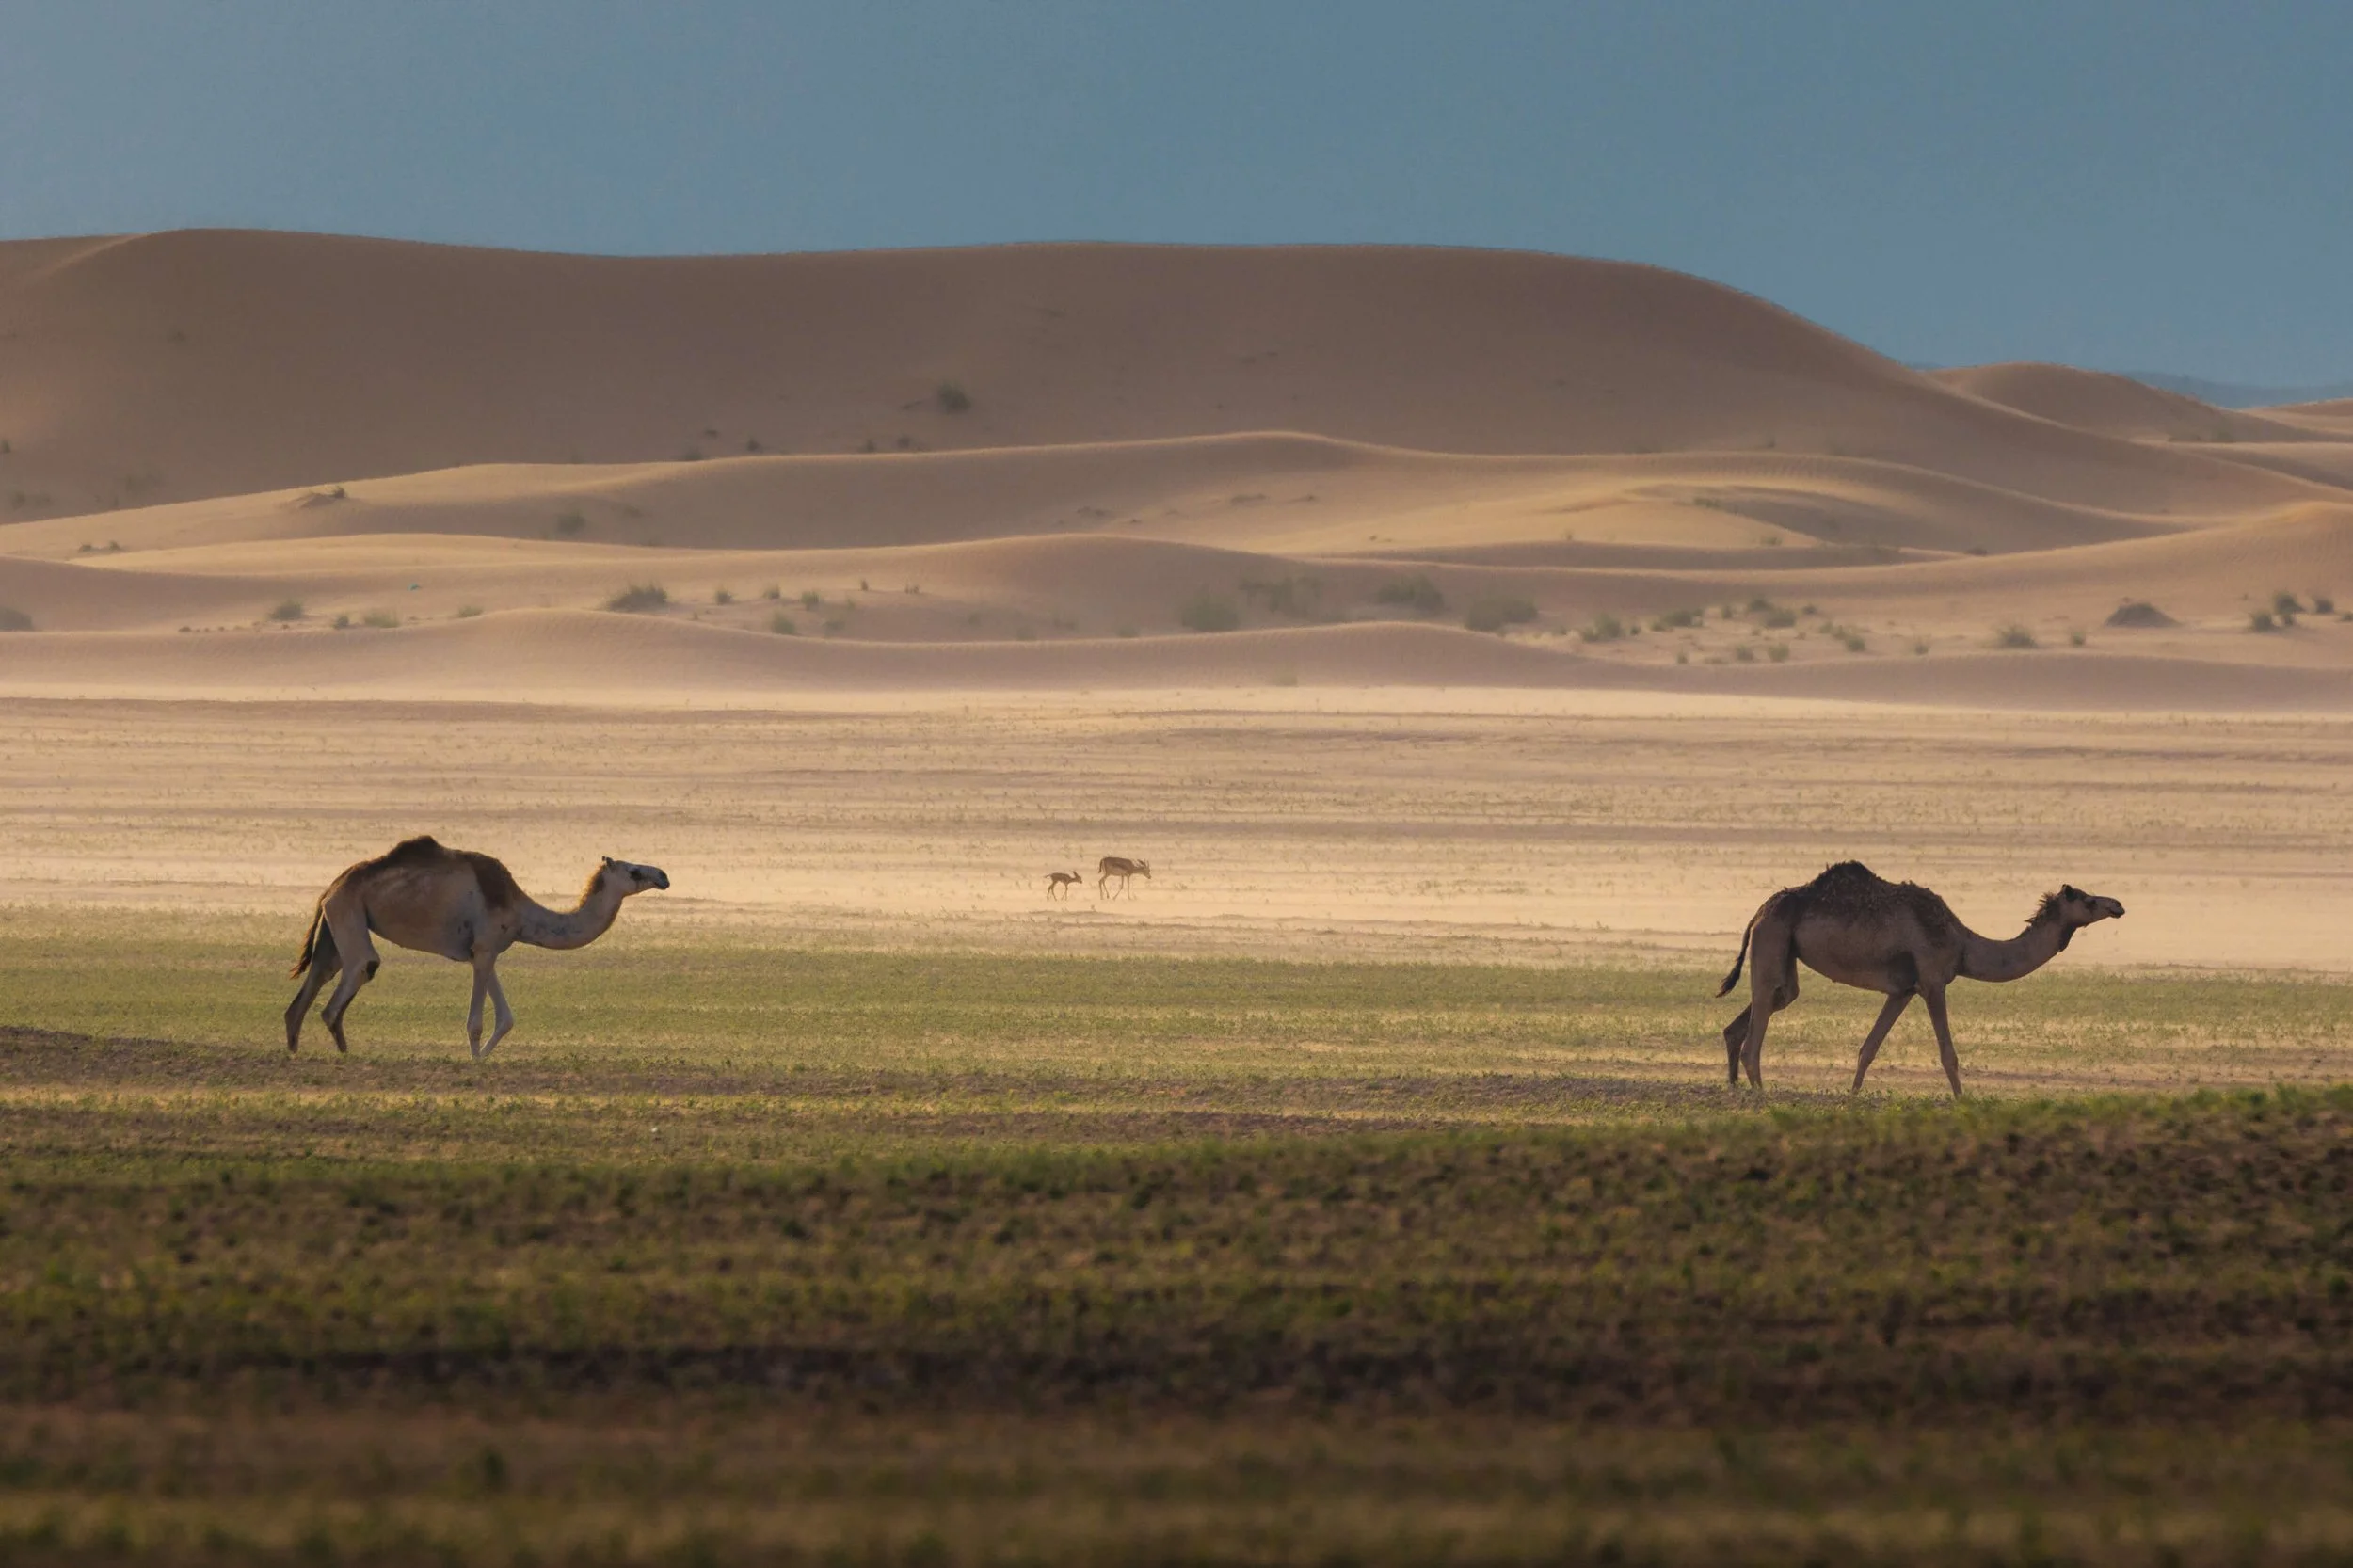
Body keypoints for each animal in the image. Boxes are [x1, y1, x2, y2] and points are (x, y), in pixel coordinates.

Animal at [286, 836, 669, 1059]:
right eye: (634, 871)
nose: (664, 876)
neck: (521, 912)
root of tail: (332, 887)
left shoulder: (486, 952)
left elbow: (506, 1019)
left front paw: (483, 1060)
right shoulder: (485, 948)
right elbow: (476, 1023)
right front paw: (474, 1063)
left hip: (337, 922)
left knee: (313, 983)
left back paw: (293, 1051)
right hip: (349, 912)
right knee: (356, 974)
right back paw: (343, 1056)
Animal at [1717, 861, 2123, 1096]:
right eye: (2087, 900)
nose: (2117, 905)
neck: (1963, 944)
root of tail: (1759, 911)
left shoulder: (1902, 991)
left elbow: (1868, 1049)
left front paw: (1852, 1097)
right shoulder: (1932, 982)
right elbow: (1948, 1054)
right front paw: (1962, 1101)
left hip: (1783, 950)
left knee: (1768, 1005)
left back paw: (1736, 1088)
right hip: (1773, 937)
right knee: (1758, 1026)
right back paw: (1761, 1097)